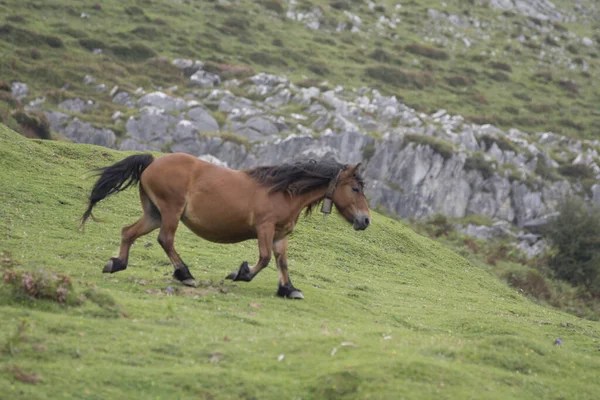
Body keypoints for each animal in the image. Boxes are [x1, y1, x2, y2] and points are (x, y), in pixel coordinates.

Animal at [79, 152, 370, 298]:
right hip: (170, 212)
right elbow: (264, 259)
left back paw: (117, 263)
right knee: (166, 240)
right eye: (355, 188)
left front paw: (288, 289)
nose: (365, 220)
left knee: (128, 232)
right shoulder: (264, 229)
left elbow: (282, 262)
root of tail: (153, 162)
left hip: (154, 214)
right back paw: (185, 275)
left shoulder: (280, 235)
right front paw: (240, 273)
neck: (283, 191)